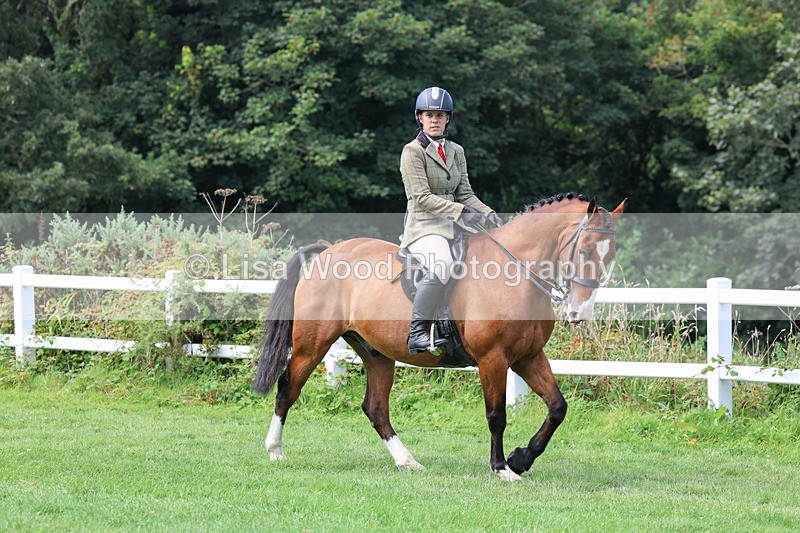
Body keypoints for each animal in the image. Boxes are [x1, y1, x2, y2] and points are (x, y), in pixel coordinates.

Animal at [253, 193, 625, 481]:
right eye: (585, 251)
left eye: (610, 255)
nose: (579, 313)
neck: (516, 271)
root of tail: (330, 250)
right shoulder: (493, 358)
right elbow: (496, 415)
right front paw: (501, 468)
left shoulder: (527, 357)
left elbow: (557, 407)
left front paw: (521, 459)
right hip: (312, 344)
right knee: (288, 388)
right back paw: (275, 451)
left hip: (376, 353)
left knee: (376, 408)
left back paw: (408, 462)